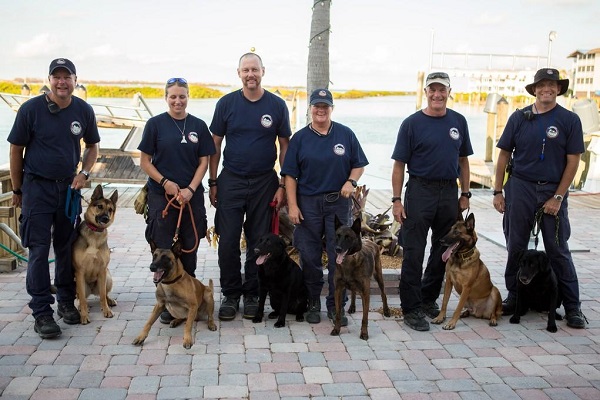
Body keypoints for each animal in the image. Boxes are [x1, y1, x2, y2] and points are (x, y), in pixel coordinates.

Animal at [72, 184, 118, 324]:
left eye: (110, 210)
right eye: (100, 206)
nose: (106, 218)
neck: (95, 233)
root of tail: (92, 290)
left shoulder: (102, 270)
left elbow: (102, 295)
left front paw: (106, 310)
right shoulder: (80, 271)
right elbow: (82, 299)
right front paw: (84, 315)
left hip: (108, 278)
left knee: (104, 294)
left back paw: (109, 301)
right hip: (76, 282)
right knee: (80, 298)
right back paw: (80, 307)